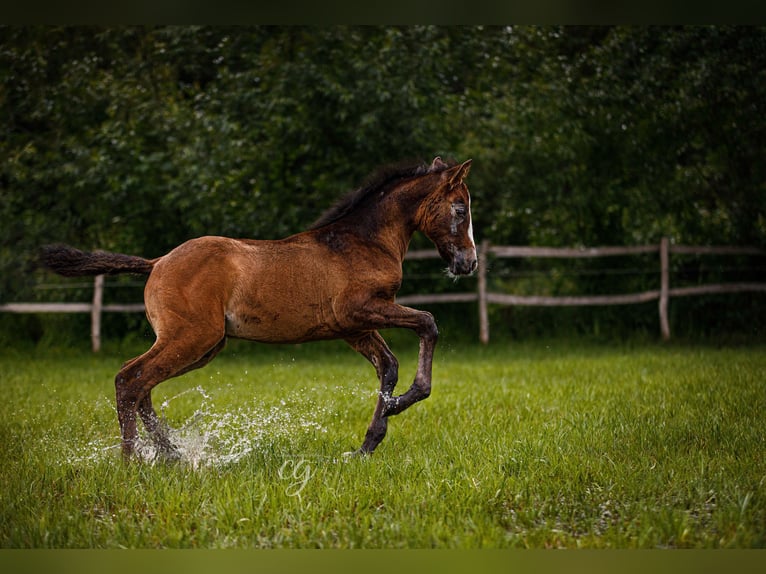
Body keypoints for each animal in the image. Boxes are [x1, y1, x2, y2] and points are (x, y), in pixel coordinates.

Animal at [42, 156, 476, 460]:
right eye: (460, 209)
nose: (468, 263)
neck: (362, 242)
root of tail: (158, 262)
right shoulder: (360, 310)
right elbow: (428, 323)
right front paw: (406, 400)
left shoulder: (352, 327)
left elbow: (388, 365)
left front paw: (367, 444)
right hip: (192, 337)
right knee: (130, 380)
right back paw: (134, 461)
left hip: (202, 346)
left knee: (141, 384)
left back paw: (172, 455)